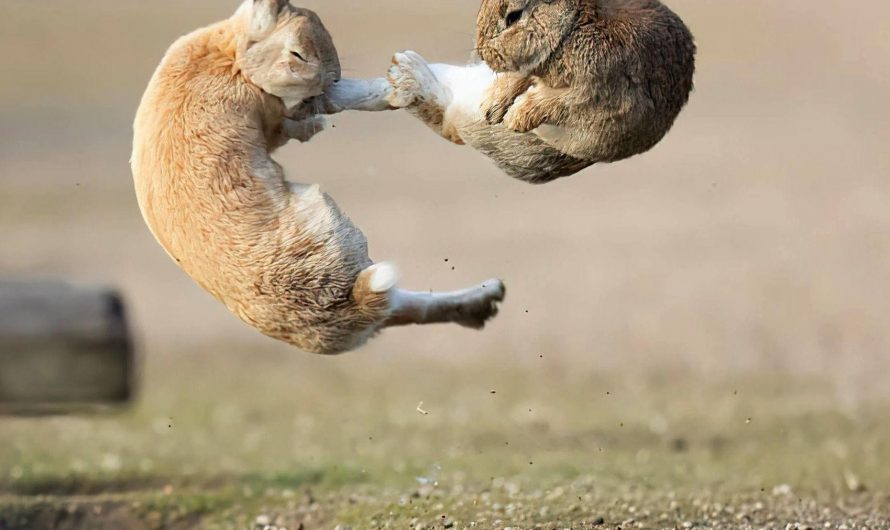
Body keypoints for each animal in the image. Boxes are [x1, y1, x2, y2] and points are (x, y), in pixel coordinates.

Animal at [131, 0, 506, 355]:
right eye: (297, 54)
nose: (333, 77)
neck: (232, 56)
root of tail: (352, 306)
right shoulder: (271, 112)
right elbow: (310, 114)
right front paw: (377, 96)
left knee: (407, 307)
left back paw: (487, 297)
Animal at [387, 0, 696, 184]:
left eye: (513, 16)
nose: (482, 52)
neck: (569, 29)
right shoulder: (529, 68)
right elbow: (519, 79)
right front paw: (493, 107)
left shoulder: (589, 93)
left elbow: (549, 102)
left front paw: (515, 118)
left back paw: (405, 75)